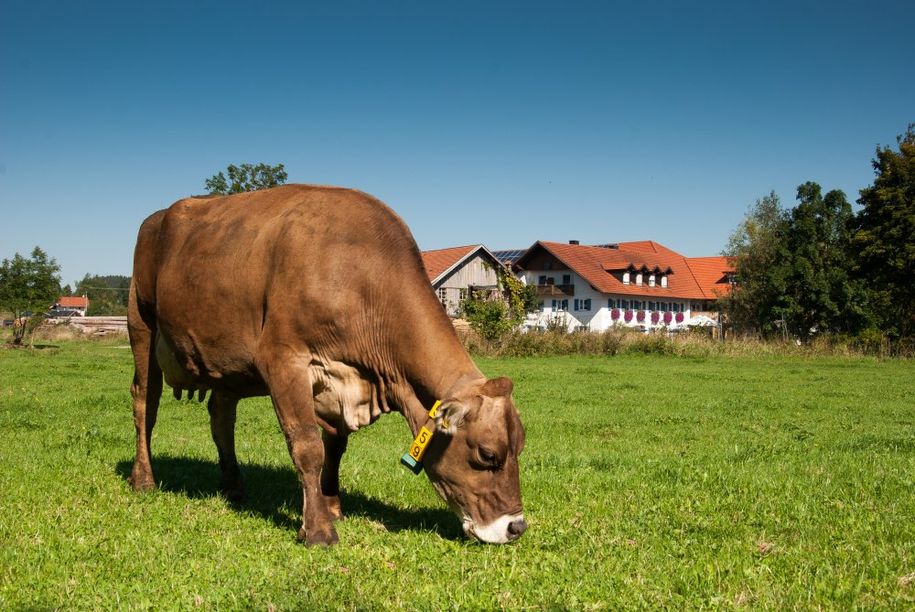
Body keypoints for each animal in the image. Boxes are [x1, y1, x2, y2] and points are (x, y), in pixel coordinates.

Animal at [129, 185, 528, 544]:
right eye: (487, 454)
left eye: (520, 447)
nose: (516, 527)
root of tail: (158, 215)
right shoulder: (282, 357)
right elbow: (307, 446)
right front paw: (318, 529)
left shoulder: (342, 380)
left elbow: (334, 446)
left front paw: (332, 505)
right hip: (141, 323)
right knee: (144, 404)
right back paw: (144, 478)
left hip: (226, 362)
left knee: (221, 415)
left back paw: (233, 486)